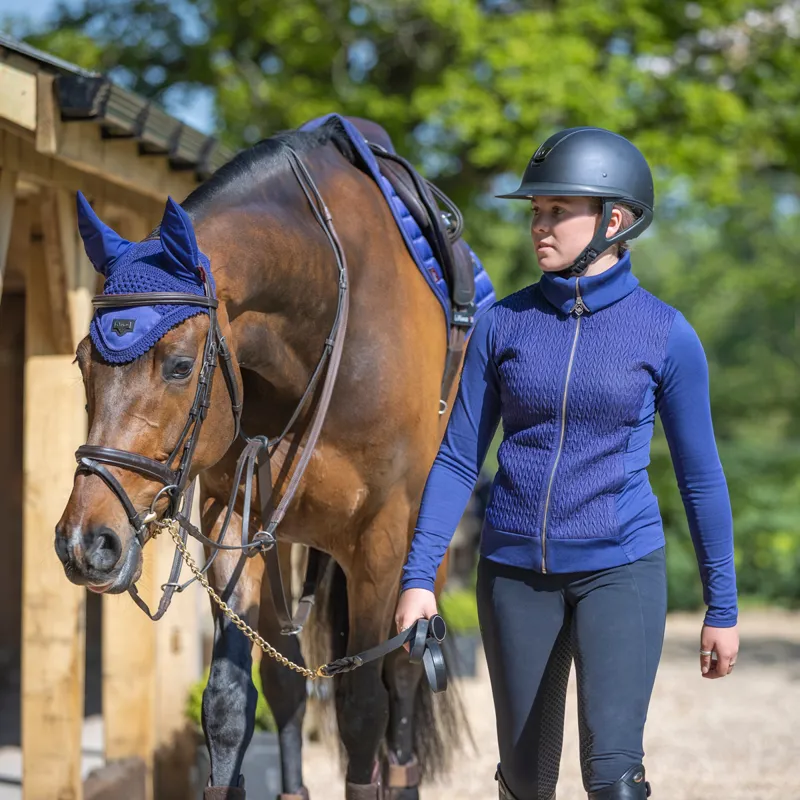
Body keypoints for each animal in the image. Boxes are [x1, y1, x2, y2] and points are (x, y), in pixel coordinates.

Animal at [56, 115, 476, 796]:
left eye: (180, 366)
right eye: (81, 361)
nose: (86, 542)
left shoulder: (382, 541)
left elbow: (365, 706)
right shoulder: (234, 517)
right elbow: (229, 704)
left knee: (404, 674)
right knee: (287, 681)